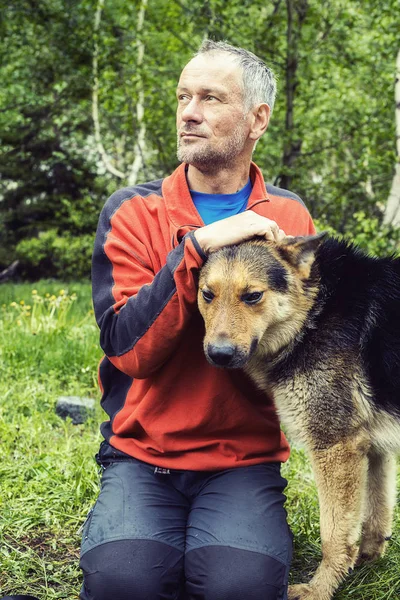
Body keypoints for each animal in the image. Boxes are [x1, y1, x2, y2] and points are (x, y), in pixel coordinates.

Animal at [198, 233, 400, 600]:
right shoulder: (372, 446)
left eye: (252, 296)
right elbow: (376, 511)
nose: (219, 355)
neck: (314, 312)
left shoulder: (335, 447)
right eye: (208, 294)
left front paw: (320, 589)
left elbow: (334, 535)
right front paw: (367, 561)